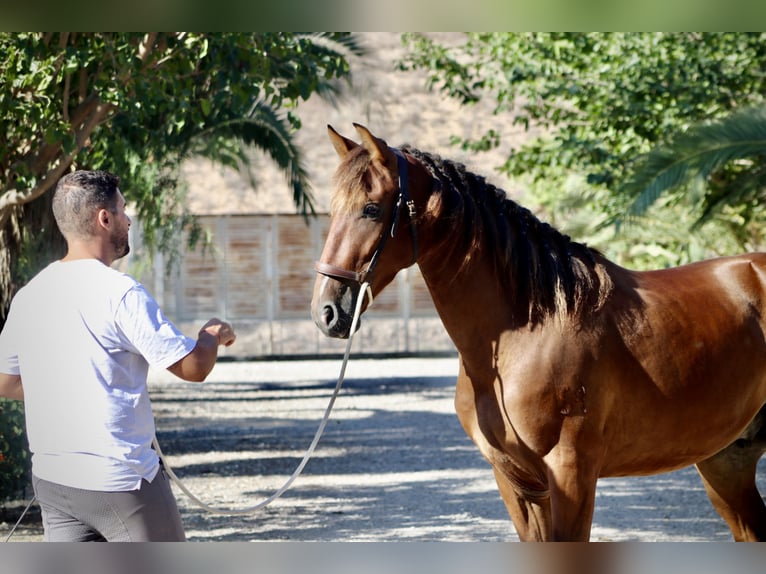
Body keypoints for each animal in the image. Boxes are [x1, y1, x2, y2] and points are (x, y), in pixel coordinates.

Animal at [310, 124, 766, 544]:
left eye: (371, 209)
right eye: (332, 210)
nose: (326, 312)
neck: (527, 332)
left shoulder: (570, 475)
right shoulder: (517, 482)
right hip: (726, 461)